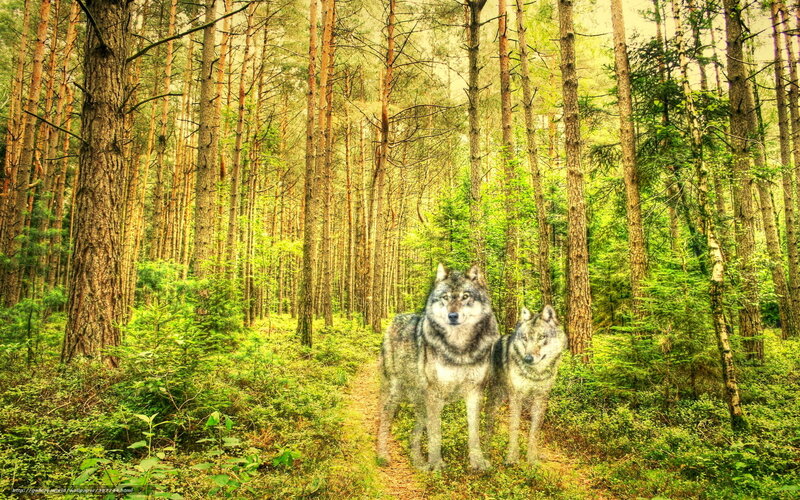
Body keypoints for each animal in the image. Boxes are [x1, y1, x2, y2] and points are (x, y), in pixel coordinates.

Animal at [377, 263, 500, 471]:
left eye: (465, 296)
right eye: (445, 297)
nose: (452, 316)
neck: (460, 351)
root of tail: (394, 319)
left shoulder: (474, 392)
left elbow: (474, 432)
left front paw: (478, 462)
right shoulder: (436, 395)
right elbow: (436, 434)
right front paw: (436, 465)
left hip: (420, 404)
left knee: (414, 434)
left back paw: (418, 462)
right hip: (395, 394)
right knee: (383, 420)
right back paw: (382, 456)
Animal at [487, 305, 567, 465]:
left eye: (542, 337)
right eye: (524, 338)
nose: (528, 359)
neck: (535, 374)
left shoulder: (541, 399)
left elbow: (534, 431)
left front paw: (532, 459)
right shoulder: (516, 398)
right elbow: (514, 427)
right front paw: (512, 457)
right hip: (494, 394)